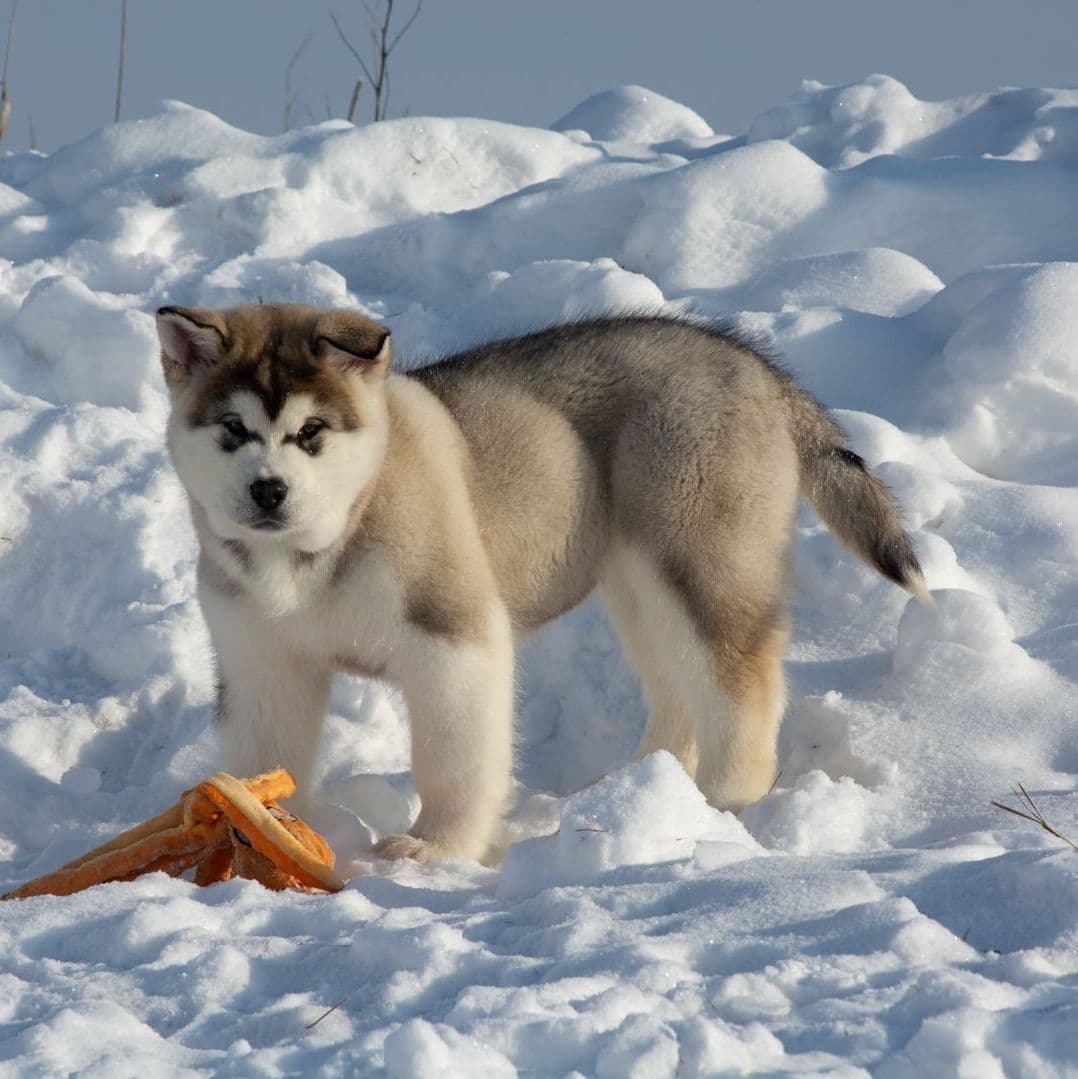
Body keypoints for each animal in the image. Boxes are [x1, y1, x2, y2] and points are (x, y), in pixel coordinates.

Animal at [157, 304, 928, 858]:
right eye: (232, 429)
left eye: (312, 430)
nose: (268, 490)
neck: (311, 557)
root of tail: (753, 364)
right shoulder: (262, 661)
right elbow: (268, 755)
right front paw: (259, 833)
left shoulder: (452, 641)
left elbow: (455, 760)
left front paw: (434, 849)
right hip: (637, 583)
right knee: (677, 686)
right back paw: (636, 789)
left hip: (699, 559)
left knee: (741, 684)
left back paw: (721, 804)